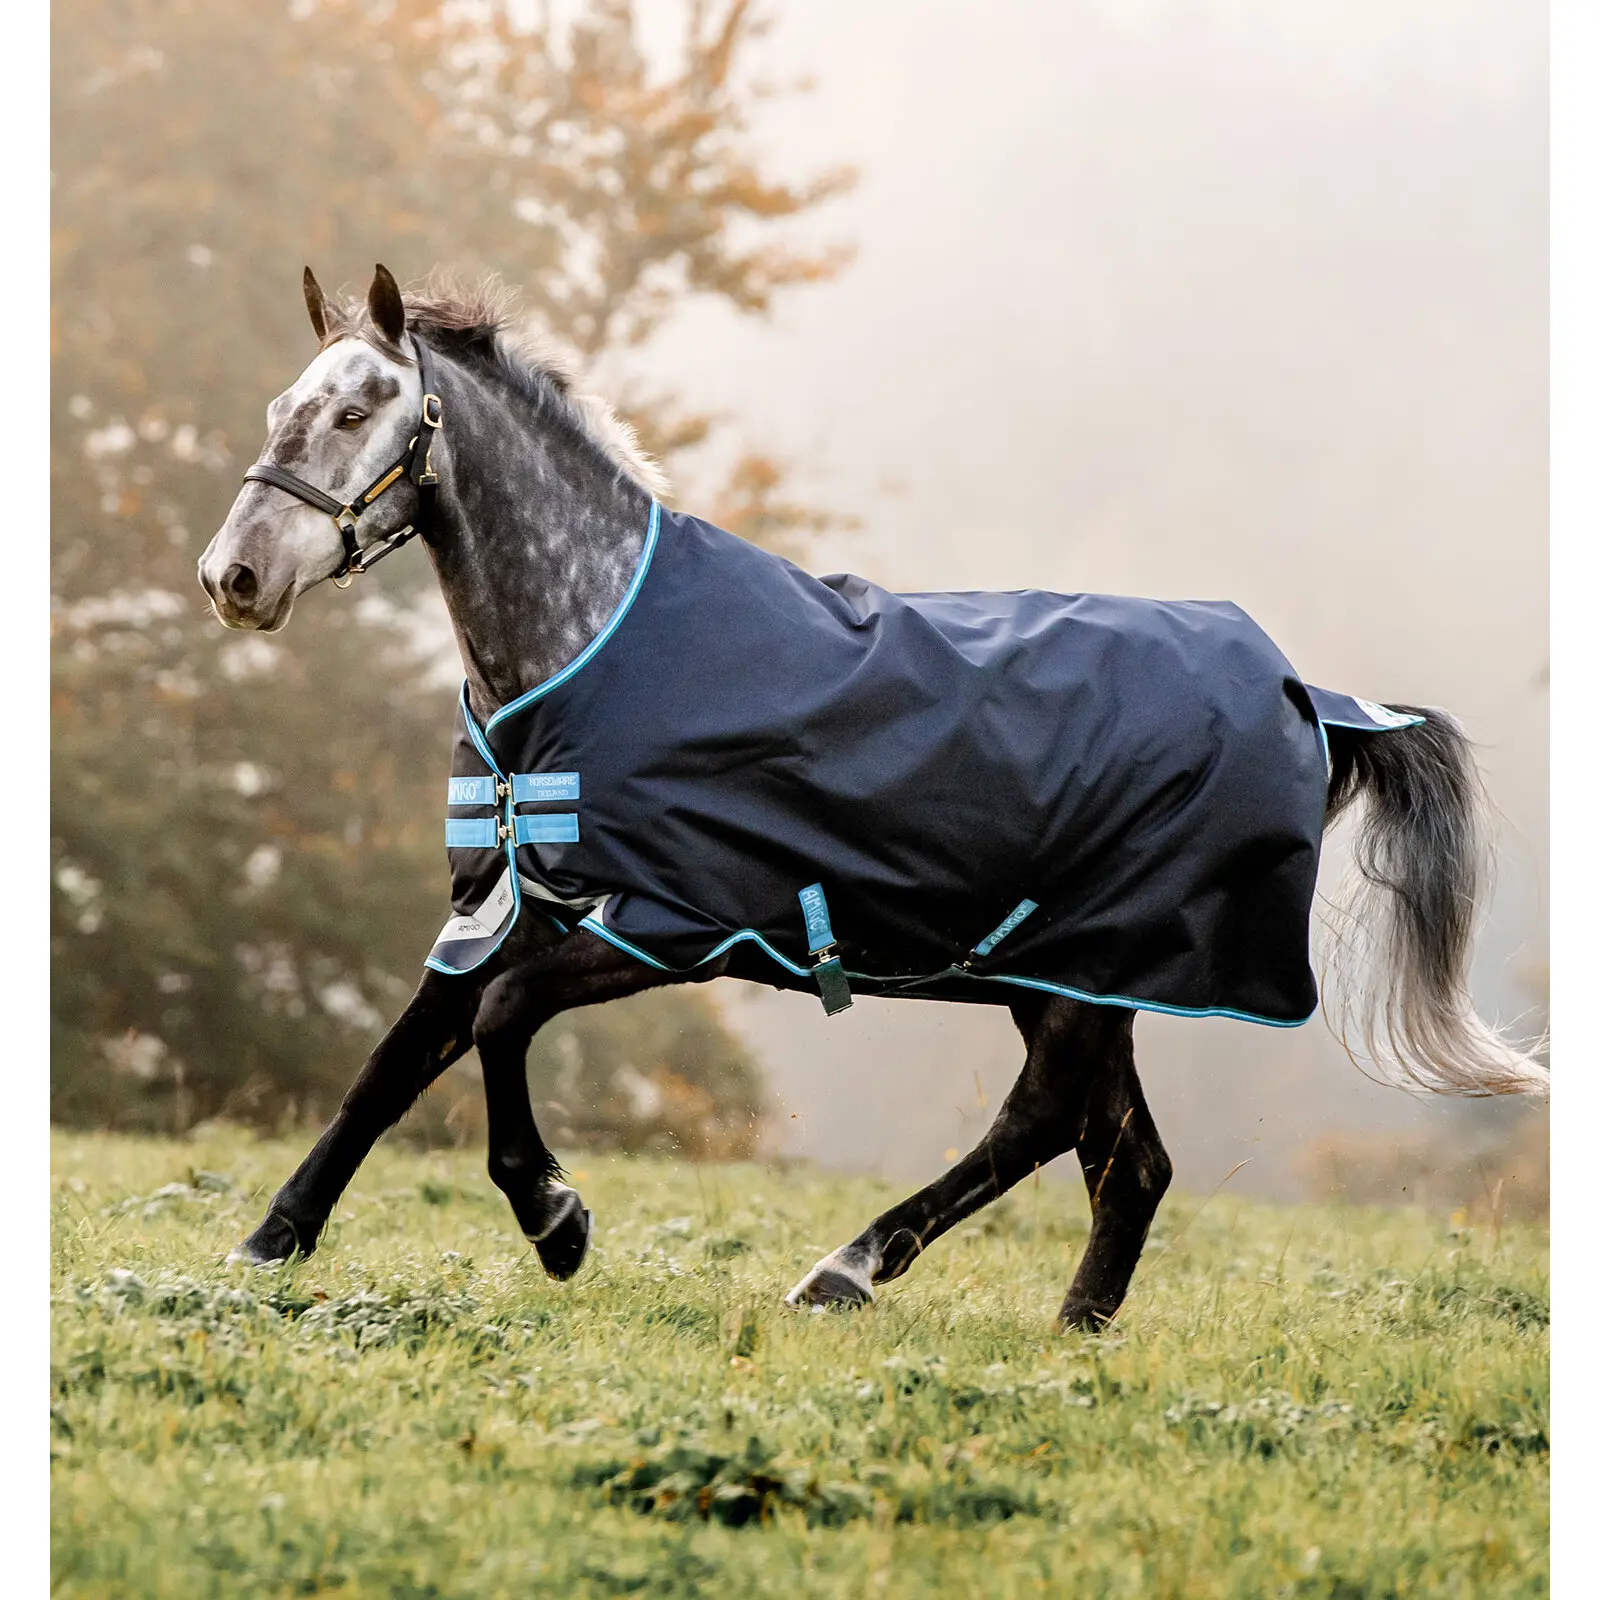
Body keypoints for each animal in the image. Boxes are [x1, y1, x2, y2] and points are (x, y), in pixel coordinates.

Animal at [199, 265, 1547, 1328]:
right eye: (279, 405)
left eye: (361, 408)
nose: (234, 576)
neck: (591, 645)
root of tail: (1309, 695)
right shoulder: (500, 903)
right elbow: (394, 1061)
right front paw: (268, 1245)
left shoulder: (671, 926)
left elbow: (499, 1019)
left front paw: (557, 1220)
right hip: (1075, 973)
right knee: (1124, 1157)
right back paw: (1070, 1328)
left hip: (1085, 973)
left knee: (1049, 1124)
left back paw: (844, 1271)